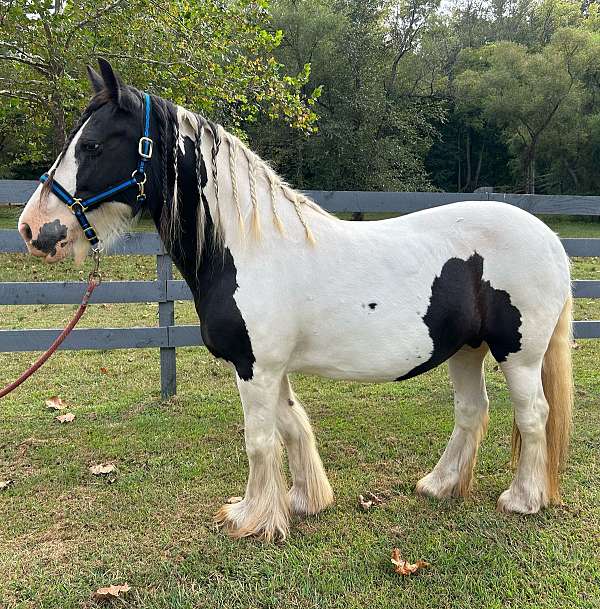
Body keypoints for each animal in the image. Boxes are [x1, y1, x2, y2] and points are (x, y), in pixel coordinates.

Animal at [17, 60, 572, 536]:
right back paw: (439, 485)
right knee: (472, 412)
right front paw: (304, 501)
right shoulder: (270, 368)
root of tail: (549, 238)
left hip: (518, 355)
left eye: (92, 146)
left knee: (533, 415)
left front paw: (252, 518)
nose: (34, 229)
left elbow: (260, 440)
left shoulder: (254, 367)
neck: (249, 248)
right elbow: (292, 428)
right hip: (466, 350)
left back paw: (523, 499)